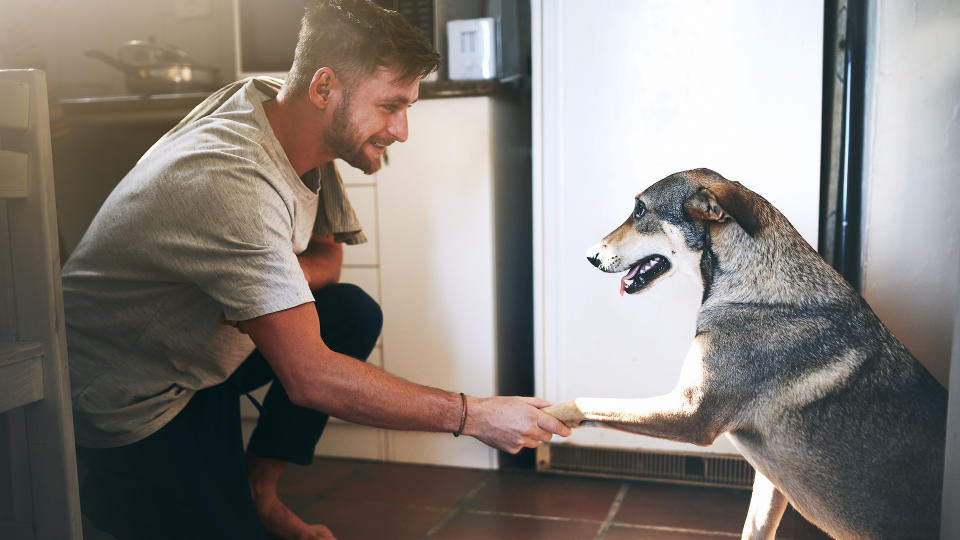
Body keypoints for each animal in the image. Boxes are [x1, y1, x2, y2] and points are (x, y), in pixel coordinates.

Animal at [544, 170, 948, 540]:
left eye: (640, 210)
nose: (590, 256)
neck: (755, 290)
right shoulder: (771, 479)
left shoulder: (689, 413)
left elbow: (588, 402)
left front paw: (545, 416)